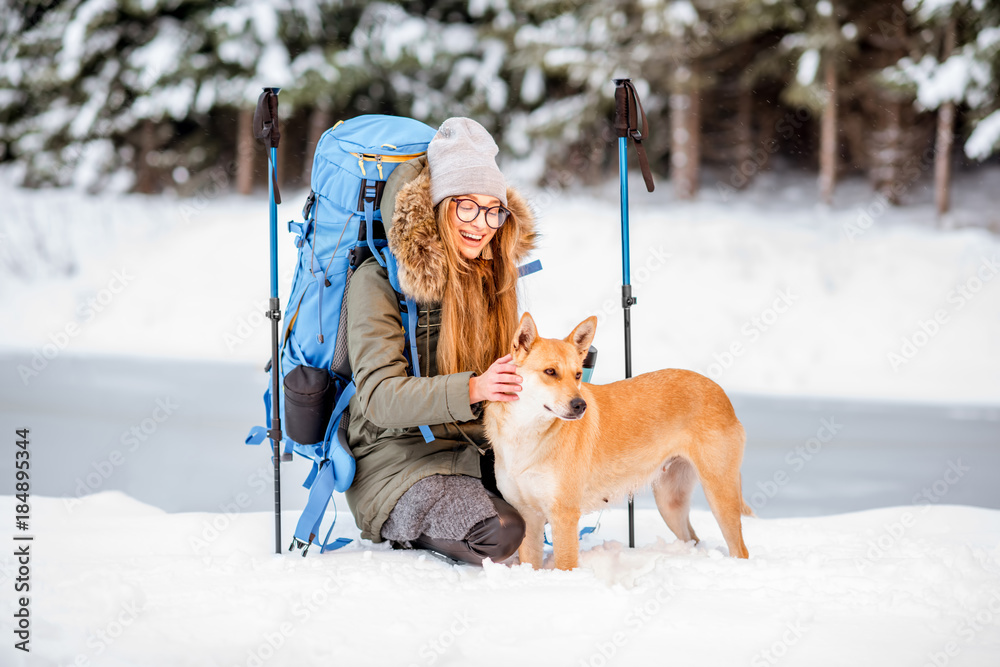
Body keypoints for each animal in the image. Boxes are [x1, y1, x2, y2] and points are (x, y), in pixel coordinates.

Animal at [484, 316, 752, 572]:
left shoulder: (564, 516)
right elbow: (530, 563)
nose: (580, 405)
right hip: (670, 502)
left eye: (578, 374)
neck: (526, 432)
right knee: (693, 539)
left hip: (719, 493)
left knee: (741, 549)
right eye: (550, 372)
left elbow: (565, 566)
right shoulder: (529, 515)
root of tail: (718, 390)